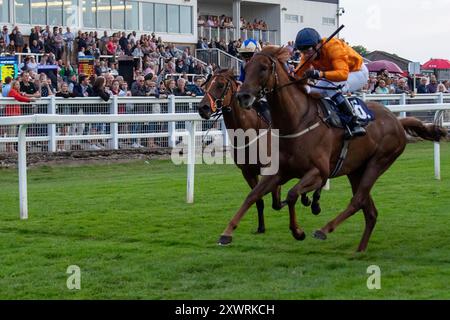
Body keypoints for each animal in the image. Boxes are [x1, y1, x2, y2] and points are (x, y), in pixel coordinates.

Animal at [199, 69, 322, 232]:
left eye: (220, 85)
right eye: (206, 85)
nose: (203, 108)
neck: (250, 131)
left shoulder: (272, 168)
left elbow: (276, 201)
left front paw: (303, 198)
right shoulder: (248, 173)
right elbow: (259, 199)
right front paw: (261, 227)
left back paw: (313, 201)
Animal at [219, 46, 446, 251]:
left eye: (264, 68)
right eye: (245, 68)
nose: (243, 96)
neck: (297, 121)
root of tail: (397, 121)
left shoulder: (319, 172)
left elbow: (292, 194)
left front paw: (298, 230)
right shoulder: (278, 171)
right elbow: (252, 196)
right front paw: (227, 233)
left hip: (379, 162)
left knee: (357, 201)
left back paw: (324, 229)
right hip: (356, 170)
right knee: (370, 211)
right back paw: (359, 250)